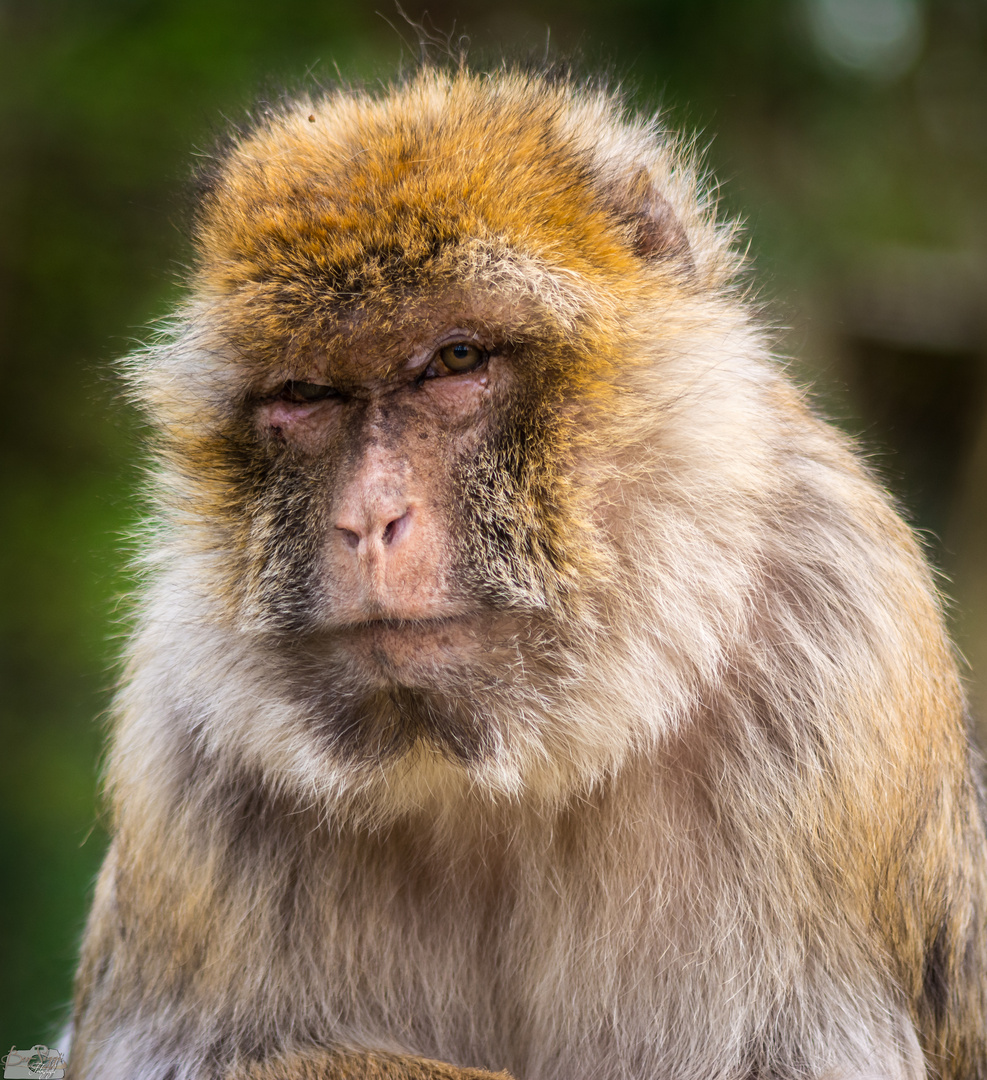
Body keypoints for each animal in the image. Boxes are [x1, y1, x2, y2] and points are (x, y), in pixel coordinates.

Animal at [67, 67, 984, 1080]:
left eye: (455, 359)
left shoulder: (837, 654)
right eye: (303, 395)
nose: (366, 519)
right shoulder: (180, 758)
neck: (522, 759)